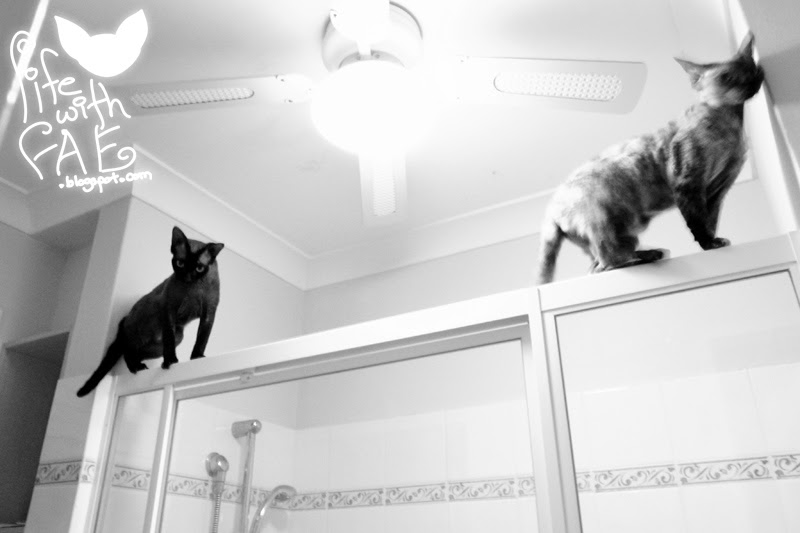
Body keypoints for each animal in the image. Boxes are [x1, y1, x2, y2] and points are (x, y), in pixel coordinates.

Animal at [77, 226, 224, 397]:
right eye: (180, 263)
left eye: (199, 268)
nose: (187, 277)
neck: (193, 289)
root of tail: (124, 319)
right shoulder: (169, 310)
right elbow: (169, 342)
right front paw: (170, 361)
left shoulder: (208, 313)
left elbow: (202, 339)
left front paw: (197, 357)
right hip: (149, 330)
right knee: (127, 350)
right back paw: (136, 367)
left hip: (174, 338)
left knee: (135, 352)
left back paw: (139, 366)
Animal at [536, 33, 764, 284]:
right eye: (727, 77)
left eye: (753, 69)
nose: (751, 81)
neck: (730, 126)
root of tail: (550, 208)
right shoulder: (688, 182)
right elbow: (698, 223)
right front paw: (710, 245)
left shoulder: (717, 189)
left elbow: (710, 221)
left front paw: (716, 242)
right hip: (607, 222)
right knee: (608, 262)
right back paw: (650, 256)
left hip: (621, 233)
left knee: (599, 265)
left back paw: (651, 254)